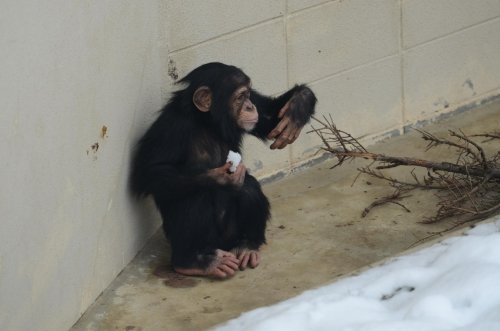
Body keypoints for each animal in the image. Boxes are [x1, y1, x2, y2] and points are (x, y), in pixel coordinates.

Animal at [130, 61, 316, 278]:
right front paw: (219, 178)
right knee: (195, 193)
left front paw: (297, 106)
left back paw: (247, 245)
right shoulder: (170, 128)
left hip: (230, 236)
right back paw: (194, 261)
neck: (207, 121)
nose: (250, 106)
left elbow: (271, 119)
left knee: (248, 187)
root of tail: (223, 247)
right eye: (240, 97)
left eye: (248, 94)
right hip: (203, 242)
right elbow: (150, 172)